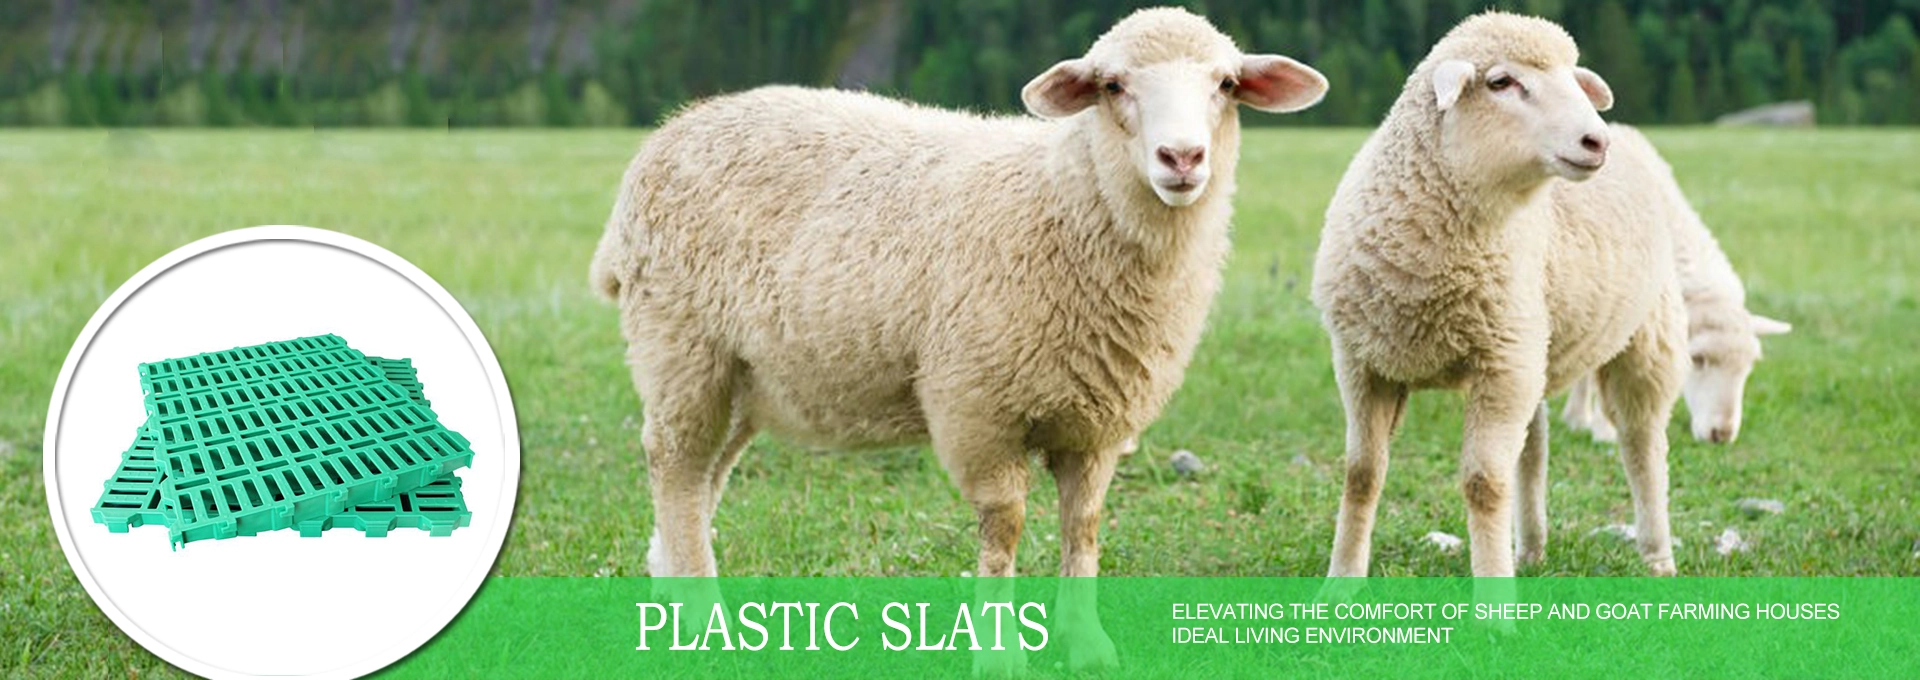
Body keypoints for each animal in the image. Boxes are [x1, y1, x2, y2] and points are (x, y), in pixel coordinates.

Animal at [591, 6, 1326, 671]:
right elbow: (1005, 528)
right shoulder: (979, 408)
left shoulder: (1098, 421)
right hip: (680, 345)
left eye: (1226, 83)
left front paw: (1086, 646)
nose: (1182, 158)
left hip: (743, 373)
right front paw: (999, 653)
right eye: (1113, 85)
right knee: (676, 466)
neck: (1065, 201)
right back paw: (702, 615)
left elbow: (1083, 526)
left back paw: (673, 587)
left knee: (703, 478)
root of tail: (672, 130)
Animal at [1310, 12, 1687, 580]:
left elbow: (1484, 484)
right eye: (1501, 82)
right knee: (1535, 448)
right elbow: (1362, 473)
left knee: (1642, 445)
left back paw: (1657, 556)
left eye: (1575, 79)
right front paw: (1342, 579)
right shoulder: (1362, 362)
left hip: (1643, 337)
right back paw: (1530, 549)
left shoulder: (1501, 365)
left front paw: (1493, 588)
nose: (1595, 141)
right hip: (1534, 347)